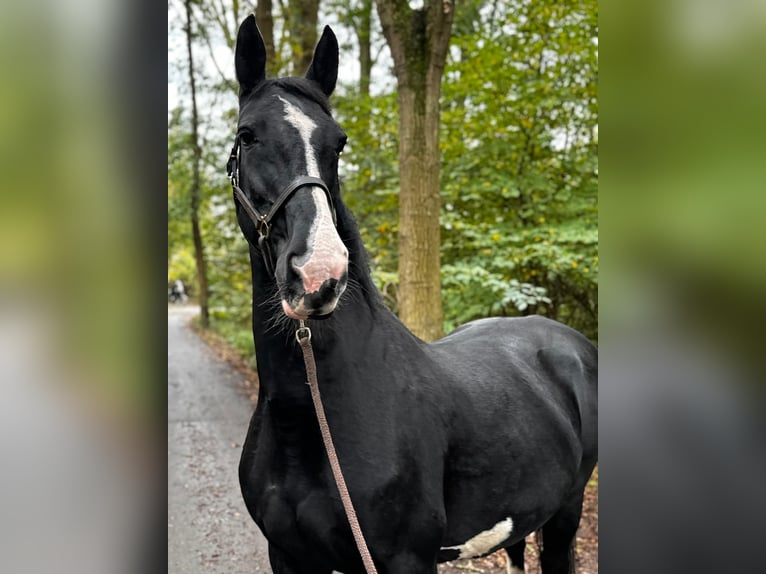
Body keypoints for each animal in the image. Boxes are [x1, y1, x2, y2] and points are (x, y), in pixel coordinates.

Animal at [234, 14, 600, 574]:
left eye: (339, 143)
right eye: (247, 135)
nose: (318, 273)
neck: (313, 417)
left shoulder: (406, 558)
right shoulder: (288, 555)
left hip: (565, 516)